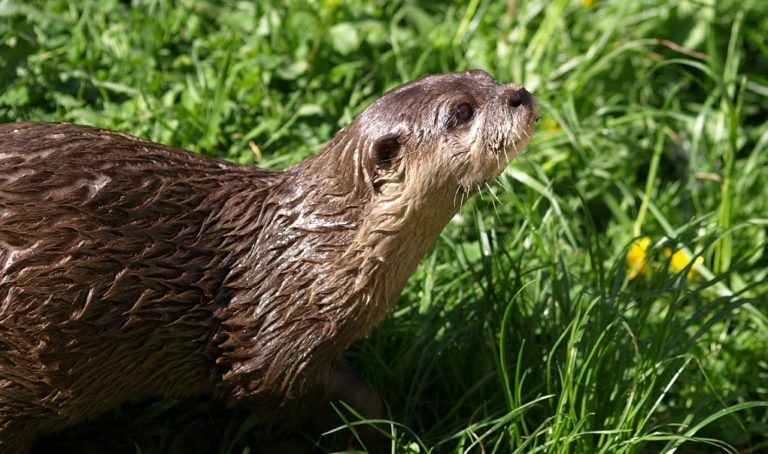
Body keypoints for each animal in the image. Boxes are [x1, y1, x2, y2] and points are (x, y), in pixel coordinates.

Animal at [0, 69, 536, 452]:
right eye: (462, 112)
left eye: (484, 74)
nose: (521, 94)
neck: (313, 252)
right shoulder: (275, 343)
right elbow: (294, 388)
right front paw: (386, 429)